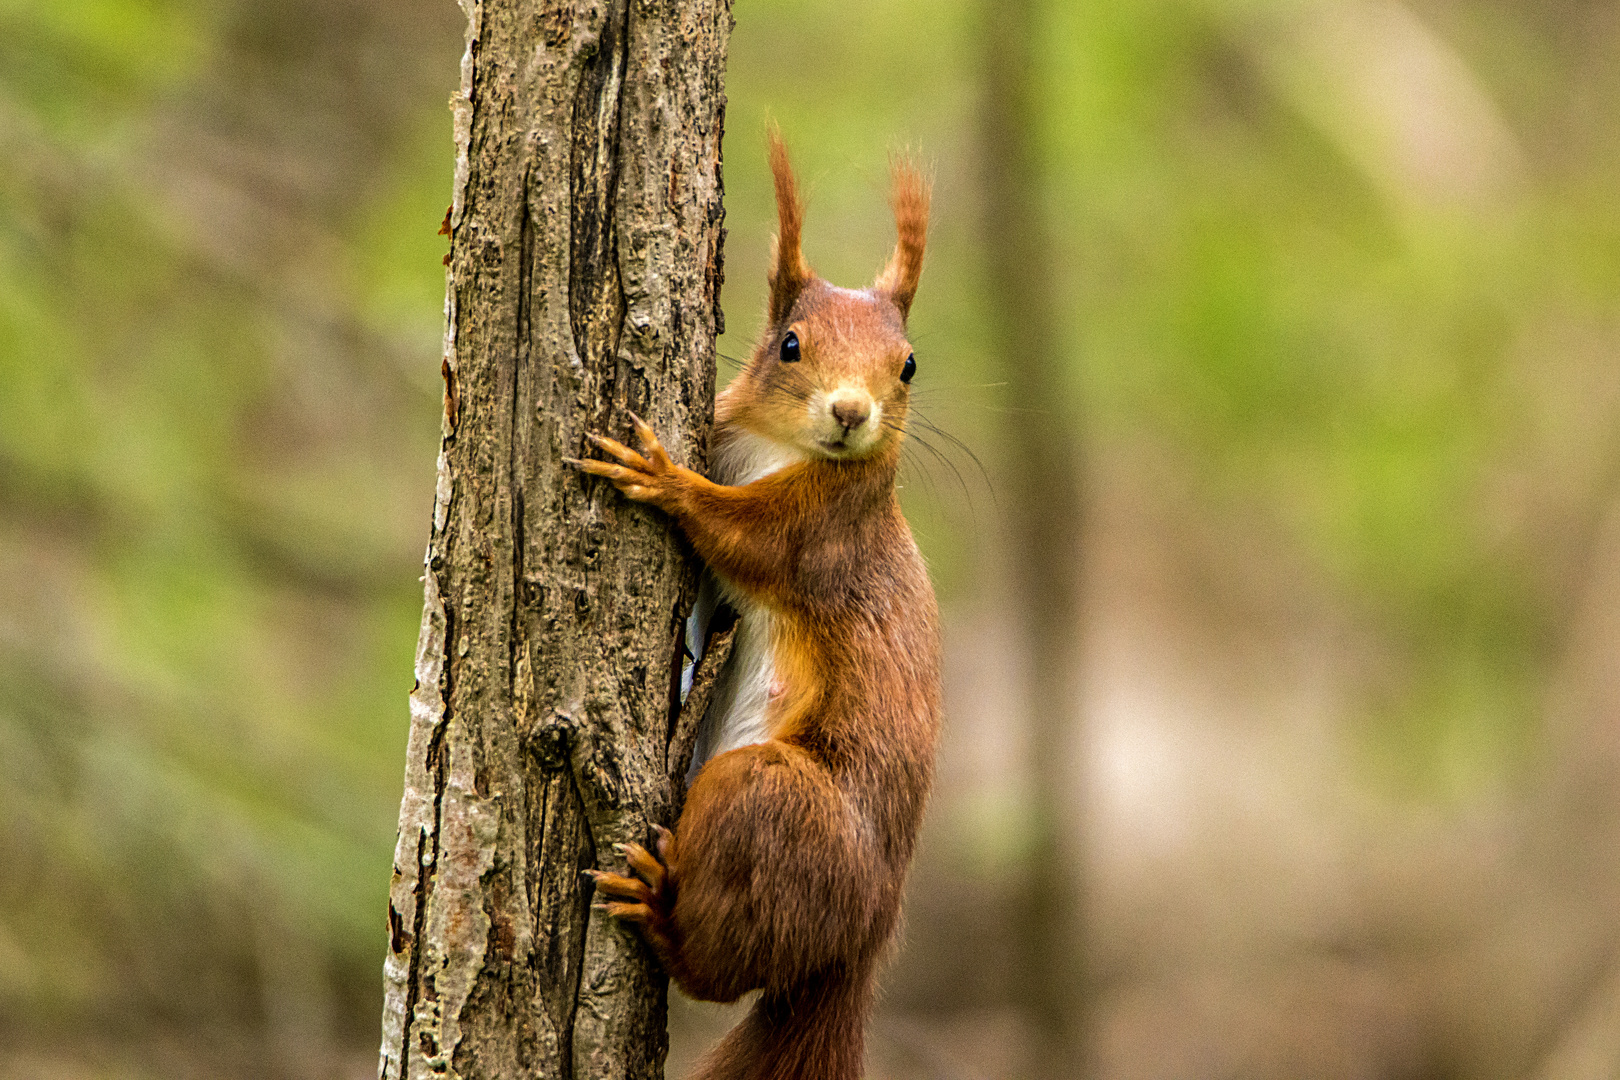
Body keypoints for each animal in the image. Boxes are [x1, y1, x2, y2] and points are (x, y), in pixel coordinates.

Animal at [576, 137, 946, 1080]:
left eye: (909, 365)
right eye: (789, 344)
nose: (850, 413)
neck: (779, 449)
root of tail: (859, 951)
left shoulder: (820, 536)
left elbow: (740, 537)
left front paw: (662, 478)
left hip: (769, 801)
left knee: (714, 970)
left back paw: (659, 915)